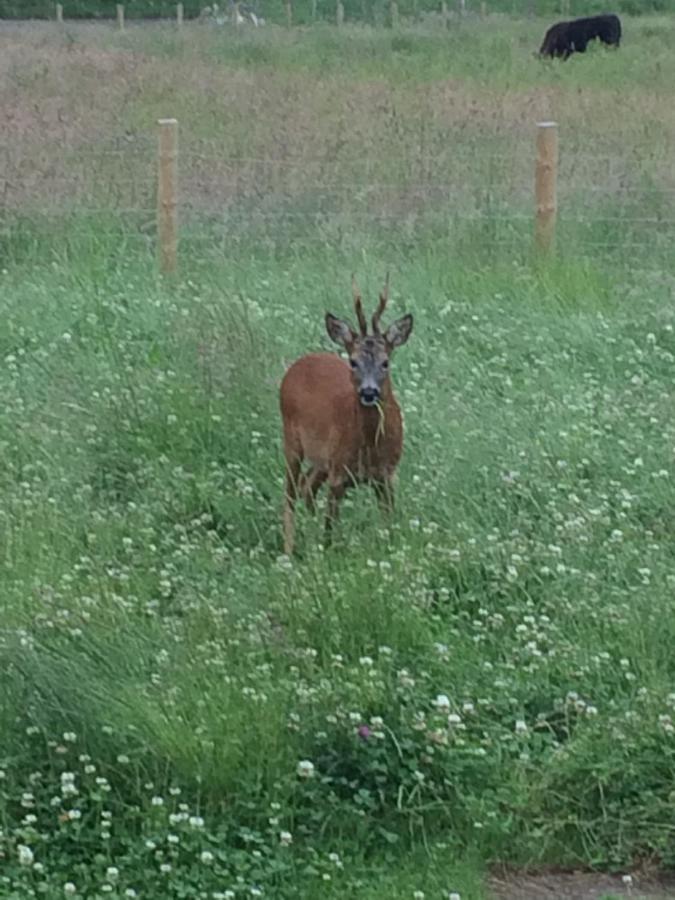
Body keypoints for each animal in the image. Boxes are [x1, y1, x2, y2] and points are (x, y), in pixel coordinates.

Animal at [278, 274, 412, 556]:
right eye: (353, 361)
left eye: (385, 362)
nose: (369, 392)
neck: (370, 445)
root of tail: (299, 363)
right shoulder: (338, 473)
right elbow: (329, 530)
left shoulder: (387, 474)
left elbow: (389, 525)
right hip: (292, 439)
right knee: (290, 493)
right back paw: (289, 550)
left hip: (321, 460)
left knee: (306, 486)